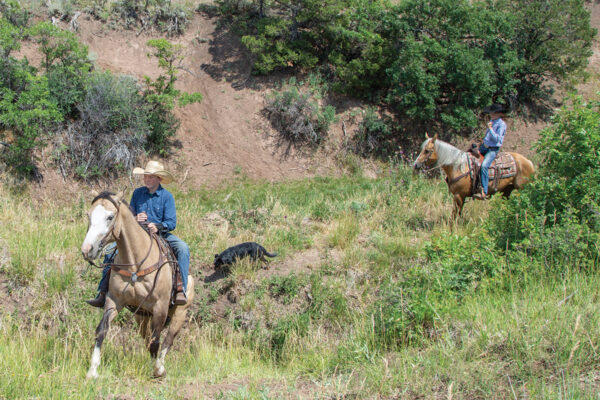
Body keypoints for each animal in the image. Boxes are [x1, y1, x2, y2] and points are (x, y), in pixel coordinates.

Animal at [80, 192, 195, 380]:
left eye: (110, 217)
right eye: (89, 215)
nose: (87, 250)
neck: (135, 263)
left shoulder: (160, 307)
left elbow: (157, 341)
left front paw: (157, 370)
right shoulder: (114, 301)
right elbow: (102, 329)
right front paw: (93, 370)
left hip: (180, 313)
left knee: (168, 339)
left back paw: (160, 365)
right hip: (142, 317)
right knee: (147, 338)